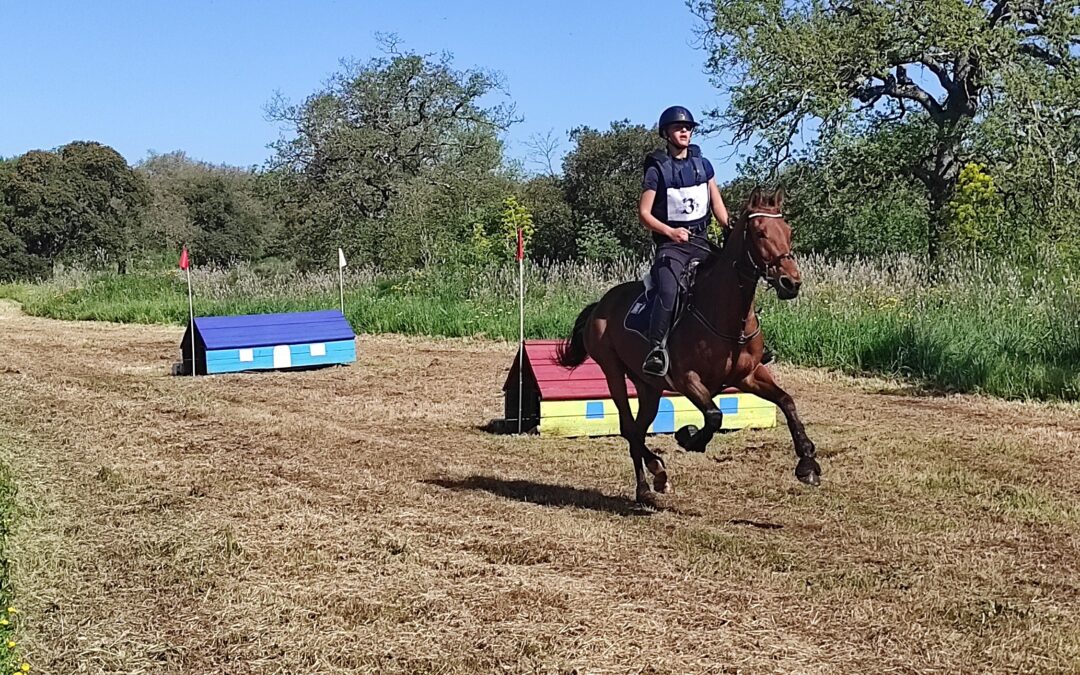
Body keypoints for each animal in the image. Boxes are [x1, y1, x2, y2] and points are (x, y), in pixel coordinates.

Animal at [557, 186, 816, 503]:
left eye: (788, 231)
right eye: (759, 233)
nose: (791, 282)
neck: (726, 313)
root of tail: (600, 305)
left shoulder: (749, 375)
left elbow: (787, 401)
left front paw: (807, 462)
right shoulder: (687, 379)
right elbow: (715, 416)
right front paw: (690, 436)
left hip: (649, 387)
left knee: (638, 429)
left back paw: (655, 477)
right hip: (613, 372)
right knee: (629, 428)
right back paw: (649, 482)